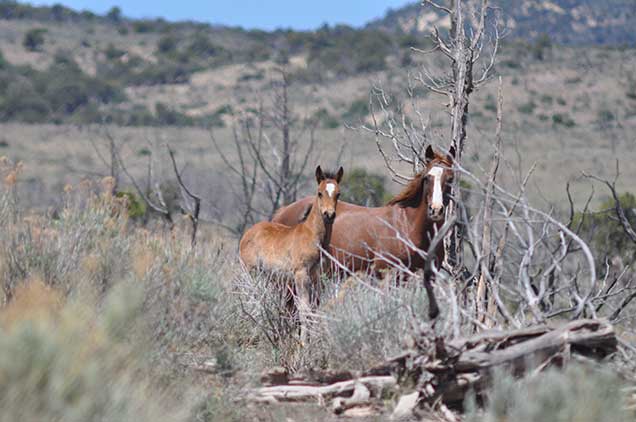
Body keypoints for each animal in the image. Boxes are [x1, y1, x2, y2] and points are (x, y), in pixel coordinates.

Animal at [241, 165, 346, 342]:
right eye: (319, 192)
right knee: (251, 296)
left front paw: (311, 341)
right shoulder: (300, 274)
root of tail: (247, 234)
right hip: (252, 272)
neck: (312, 236)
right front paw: (303, 343)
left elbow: (313, 308)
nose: (329, 215)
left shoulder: (316, 276)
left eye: (338, 194)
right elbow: (304, 308)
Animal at [270, 145, 454, 316]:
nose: (435, 210)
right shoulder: (386, 277)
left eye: (450, 178)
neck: (407, 225)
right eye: (427, 178)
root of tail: (281, 213)